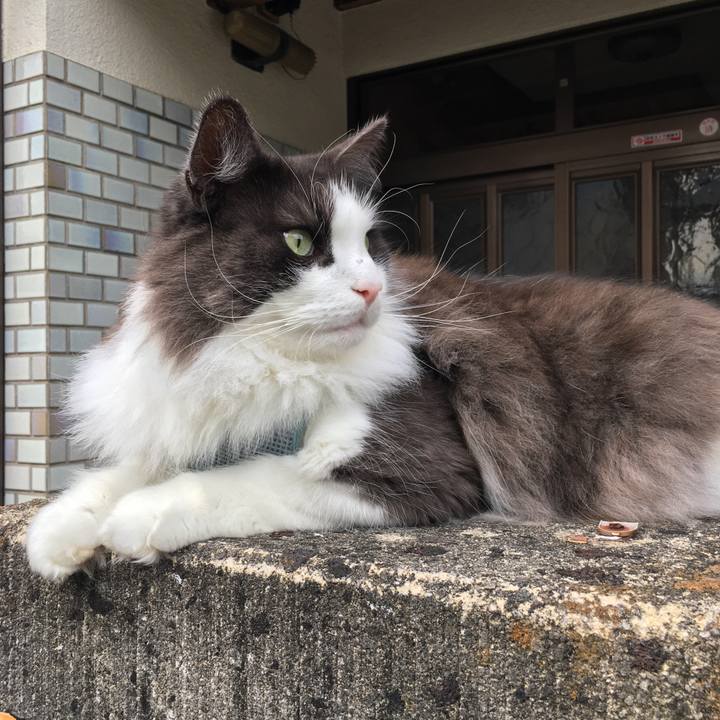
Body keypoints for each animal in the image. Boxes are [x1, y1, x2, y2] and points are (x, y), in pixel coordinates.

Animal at [26, 95, 720, 581]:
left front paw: (137, 517)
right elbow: (129, 468)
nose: (371, 289)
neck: (255, 358)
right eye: (300, 242)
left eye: (370, 244)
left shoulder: (425, 469)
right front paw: (63, 528)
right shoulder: (183, 416)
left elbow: (251, 477)